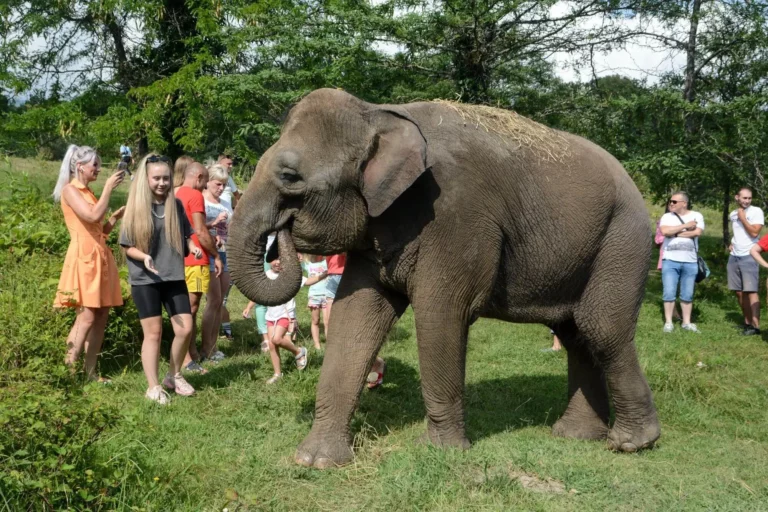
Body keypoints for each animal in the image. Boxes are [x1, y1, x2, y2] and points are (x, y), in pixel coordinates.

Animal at [228, 87, 660, 468]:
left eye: (289, 176)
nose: (280, 236)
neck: (377, 113)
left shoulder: (456, 215)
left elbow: (441, 313)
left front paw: (440, 452)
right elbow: (355, 317)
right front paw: (315, 461)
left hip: (624, 238)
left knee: (600, 327)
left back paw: (631, 443)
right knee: (575, 334)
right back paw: (576, 436)